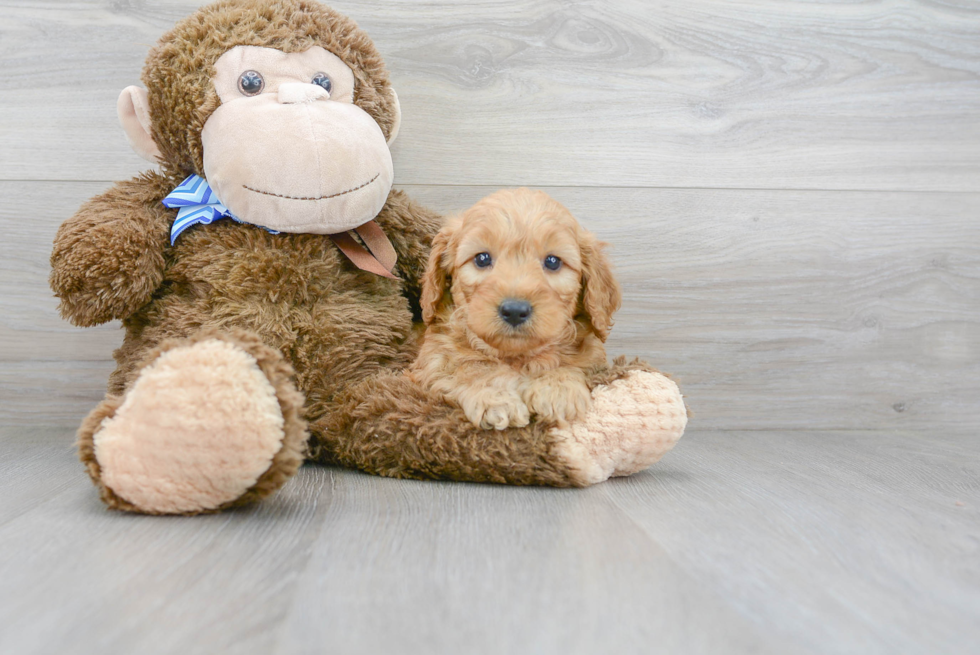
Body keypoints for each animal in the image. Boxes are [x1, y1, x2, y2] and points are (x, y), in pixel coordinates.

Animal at [410, 188, 624, 430]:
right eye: (482, 258)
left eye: (553, 261)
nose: (514, 310)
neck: (517, 357)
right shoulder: (429, 362)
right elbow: (468, 367)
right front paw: (495, 397)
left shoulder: (596, 361)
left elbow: (572, 363)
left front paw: (558, 388)